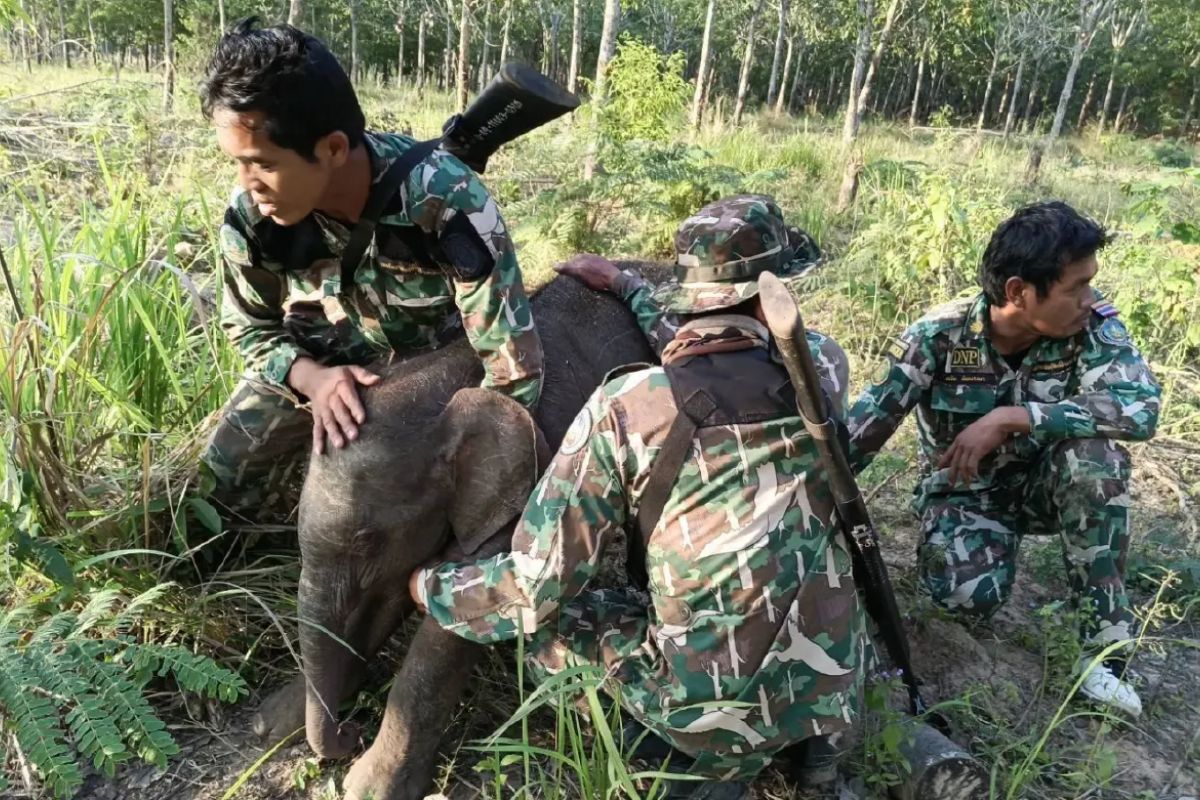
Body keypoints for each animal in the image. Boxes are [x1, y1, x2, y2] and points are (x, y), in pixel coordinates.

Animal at [250, 271, 659, 800]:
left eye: (367, 540)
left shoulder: (531, 492)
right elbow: (383, 607)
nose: (348, 732)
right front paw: (273, 726)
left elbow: (466, 618)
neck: (453, 379)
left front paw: (368, 788)